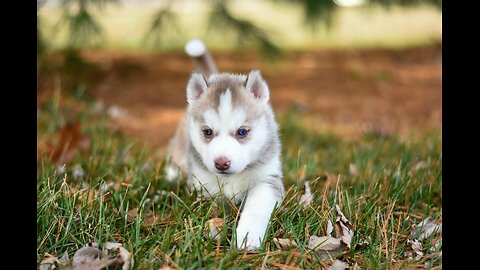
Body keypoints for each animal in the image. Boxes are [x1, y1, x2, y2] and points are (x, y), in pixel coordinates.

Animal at [167, 69, 284, 249]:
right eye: (207, 132)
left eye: (242, 132)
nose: (221, 163)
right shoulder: (202, 186)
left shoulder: (268, 179)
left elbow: (257, 205)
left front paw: (247, 236)